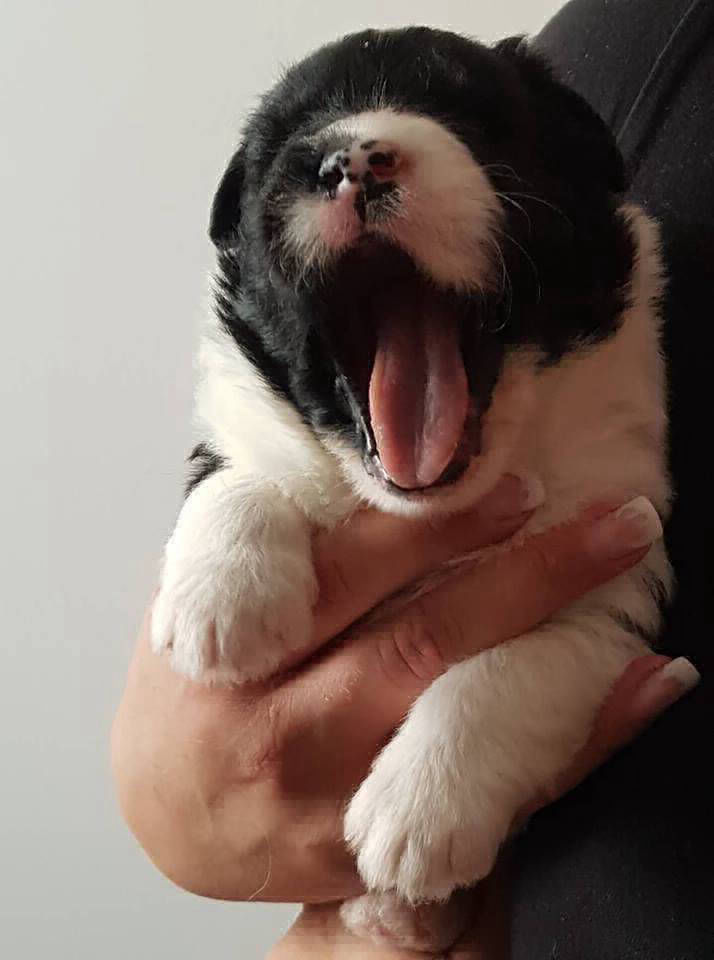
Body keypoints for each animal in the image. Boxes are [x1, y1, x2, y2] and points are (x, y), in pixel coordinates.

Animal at [151, 27, 672, 949]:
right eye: (283, 143)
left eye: (475, 114)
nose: (350, 158)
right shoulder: (238, 418)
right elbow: (238, 471)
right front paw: (223, 608)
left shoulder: (616, 570)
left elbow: (509, 667)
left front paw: (419, 812)